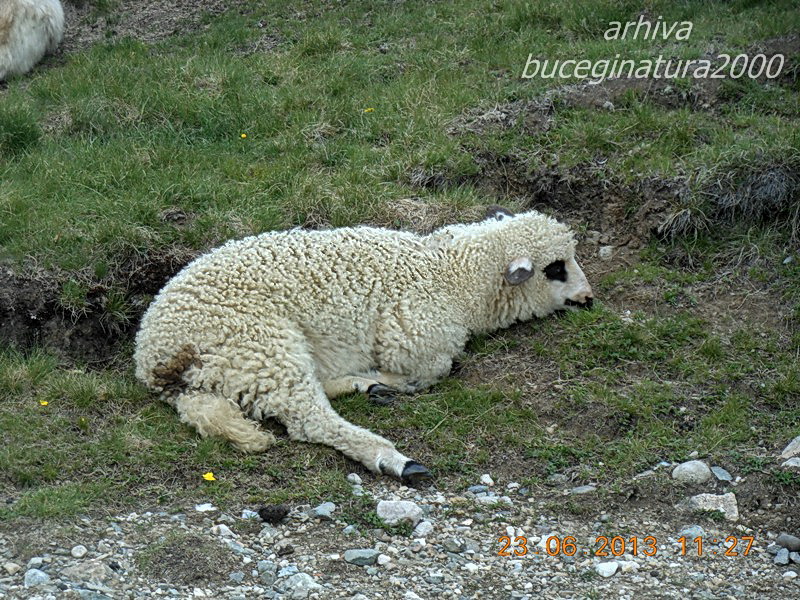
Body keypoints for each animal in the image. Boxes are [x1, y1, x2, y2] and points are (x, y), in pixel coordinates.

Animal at [134, 206, 594, 484]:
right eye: (556, 269)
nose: (589, 299)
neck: (455, 276)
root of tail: (154, 355)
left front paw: (374, 382)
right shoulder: (415, 339)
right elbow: (435, 371)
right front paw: (393, 382)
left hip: (240, 364)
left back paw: (361, 387)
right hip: (261, 346)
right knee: (311, 420)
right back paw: (394, 458)